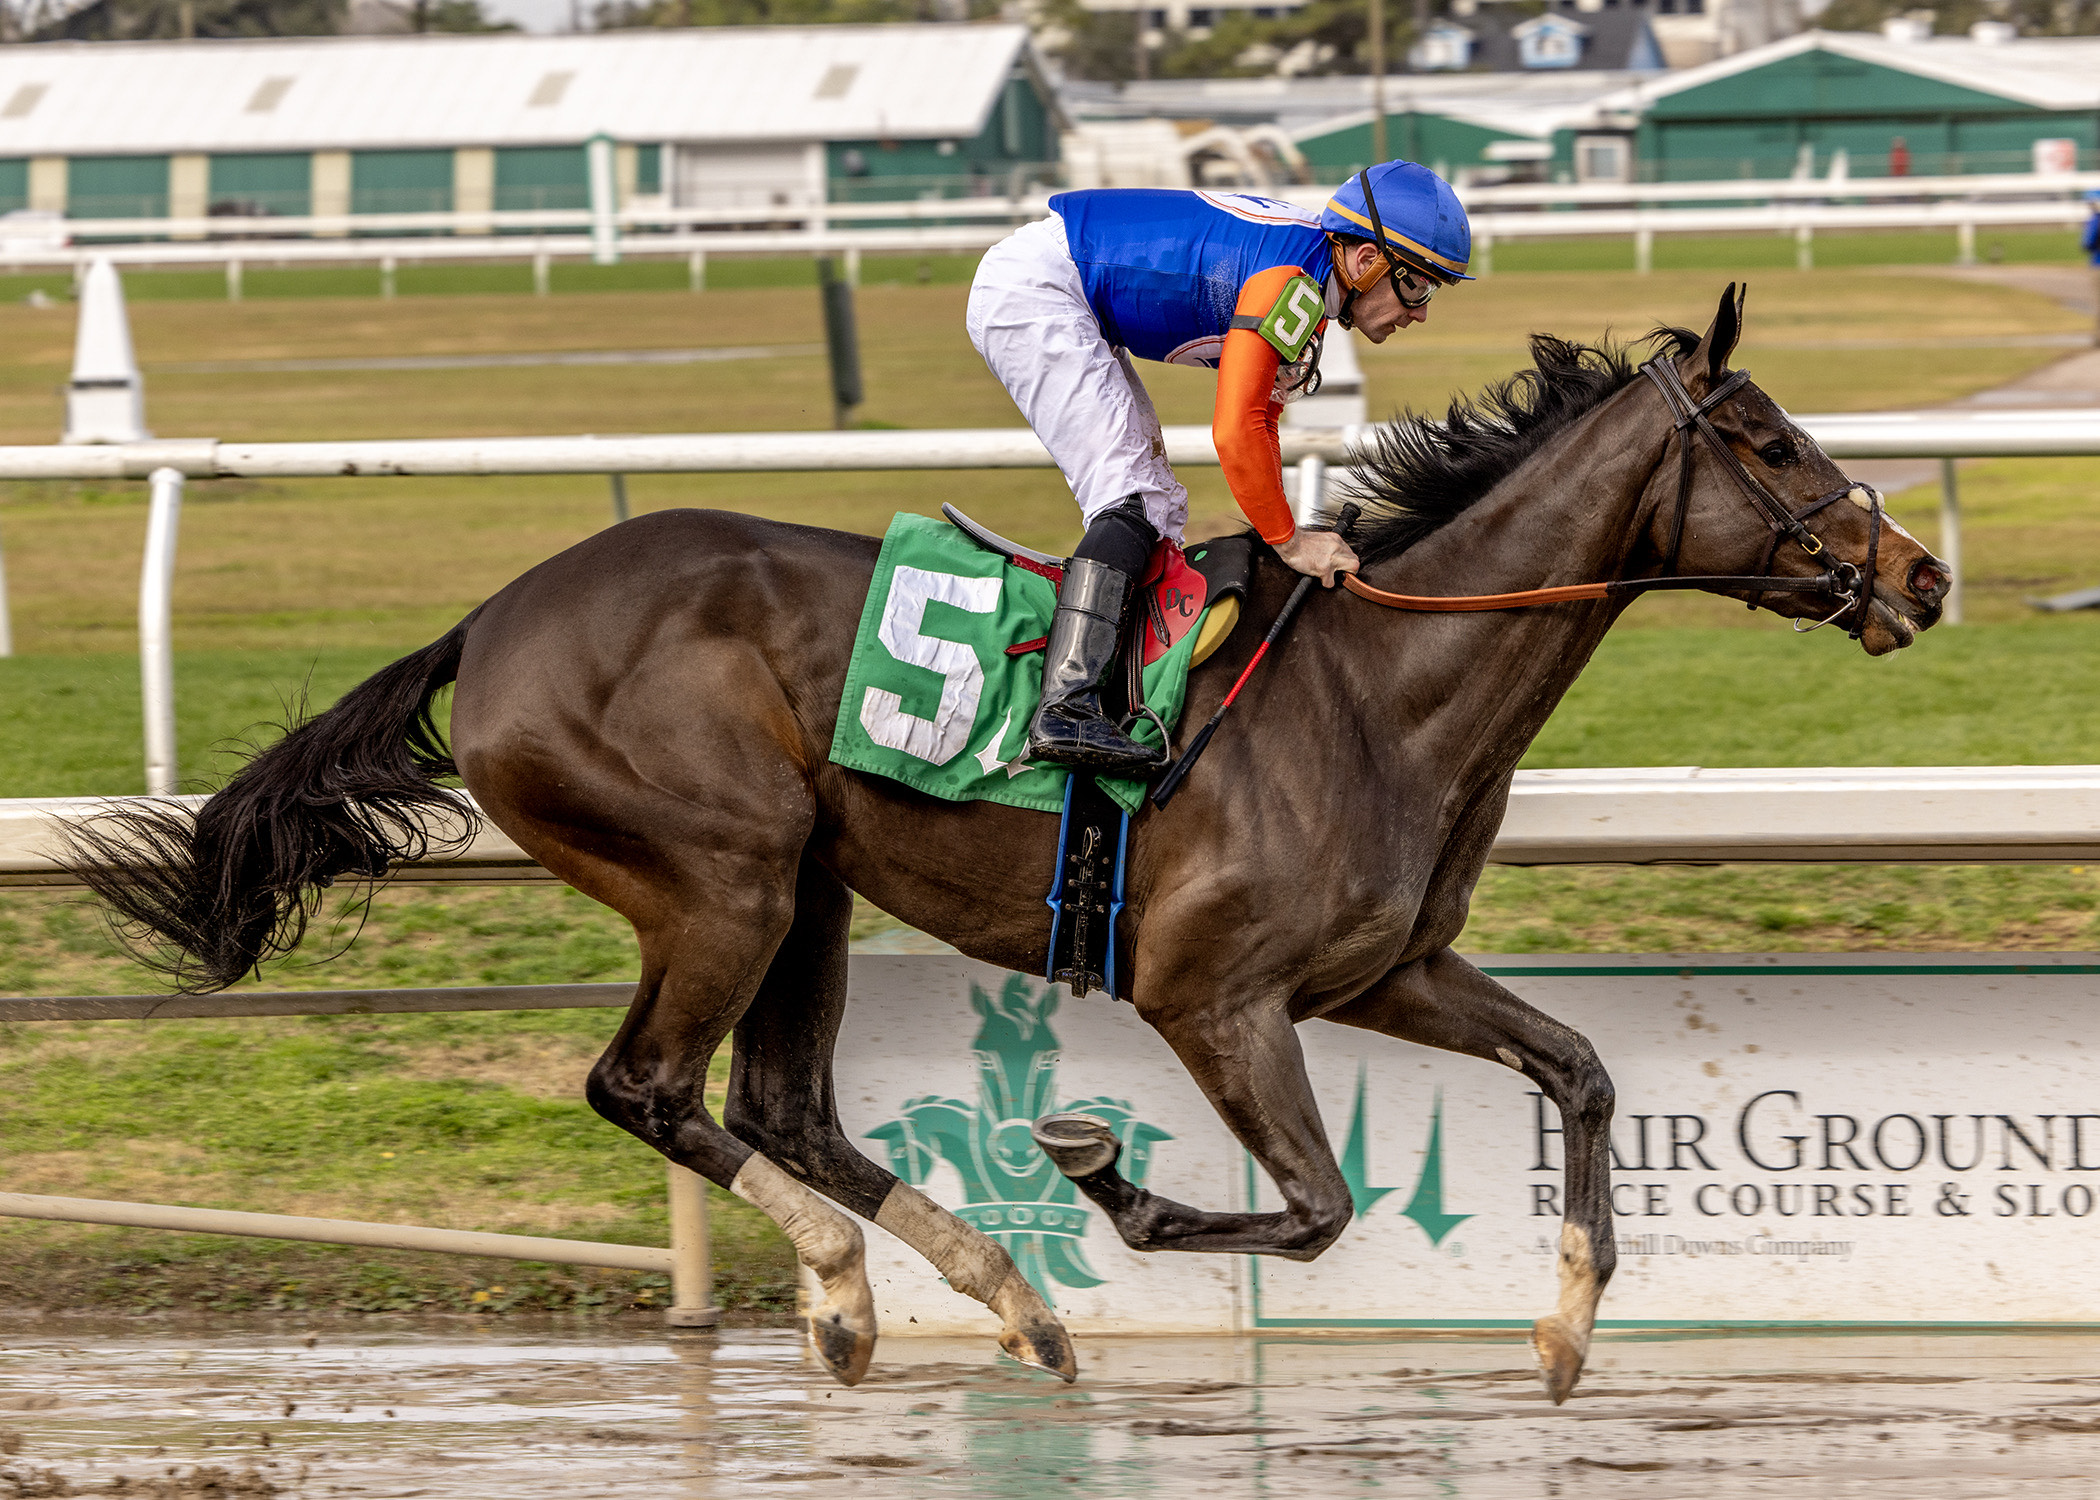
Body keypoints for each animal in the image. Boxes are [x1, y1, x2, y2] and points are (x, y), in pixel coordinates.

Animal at [65, 286, 1948, 1404]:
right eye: (1769, 440)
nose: (1921, 573)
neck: (1381, 688)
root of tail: (495, 615)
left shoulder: (1387, 971)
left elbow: (1579, 1072)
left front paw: (1562, 1329)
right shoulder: (1211, 994)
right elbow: (1316, 1208)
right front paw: (1104, 1171)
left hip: (808, 890)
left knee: (780, 1108)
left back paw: (999, 1299)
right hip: (722, 876)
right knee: (647, 1088)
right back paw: (848, 1291)